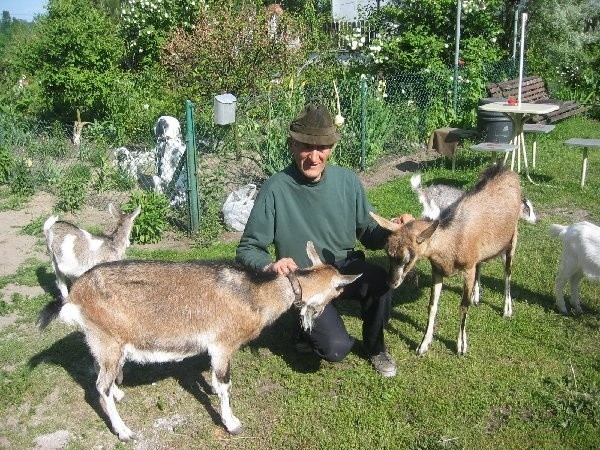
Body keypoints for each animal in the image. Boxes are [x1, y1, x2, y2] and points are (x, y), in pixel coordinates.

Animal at [38, 241, 360, 442]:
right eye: (338, 291)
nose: (319, 314)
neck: (254, 295)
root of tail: (74, 295)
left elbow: (215, 381)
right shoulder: (222, 344)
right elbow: (225, 384)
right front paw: (232, 423)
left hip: (102, 342)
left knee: (100, 374)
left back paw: (118, 395)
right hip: (108, 339)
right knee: (99, 385)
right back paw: (125, 431)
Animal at [372, 164, 524, 356]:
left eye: (409, 257)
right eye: (388, 252)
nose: (391, 282)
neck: (452, 241)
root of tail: (504, 170)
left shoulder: (468, 269)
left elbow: (463, 306)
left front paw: (461, 346)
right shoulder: (437, 270)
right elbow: (432, 306)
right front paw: (423, 345)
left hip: (512, 238)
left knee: (507, 273)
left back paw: (507, 309)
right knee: (482, 265)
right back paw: (477, 297)